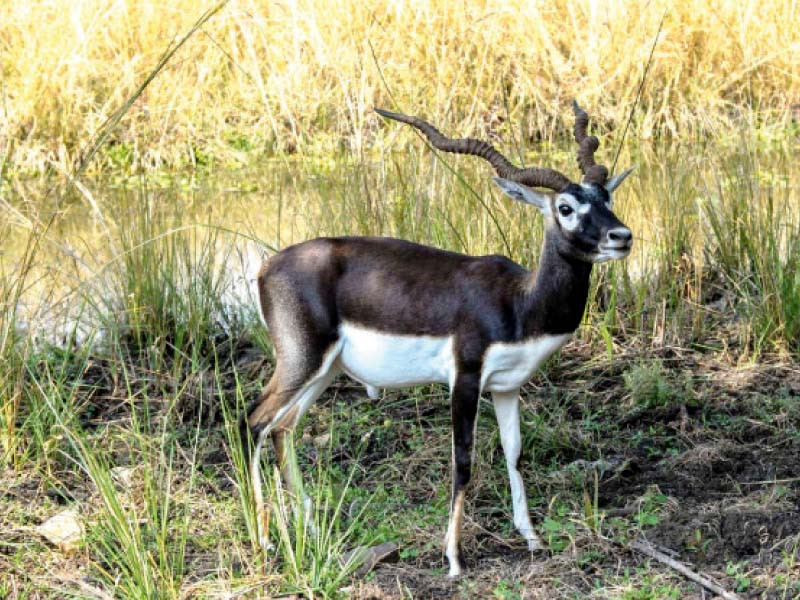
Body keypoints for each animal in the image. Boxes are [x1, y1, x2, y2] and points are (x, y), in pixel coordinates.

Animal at [241, 101, 636, 576]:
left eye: (606, 198)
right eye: (565, 207)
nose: (621, 236)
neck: (519, 302)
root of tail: (267, 267)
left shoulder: (507, 388)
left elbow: (514, 453)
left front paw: (532, 537)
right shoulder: (464, 378)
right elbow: (462, 461)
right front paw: (453, 558)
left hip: (324, 370)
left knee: (283, 429)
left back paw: (313, 530)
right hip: (301, 360)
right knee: (254, 422)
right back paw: (264, 541)